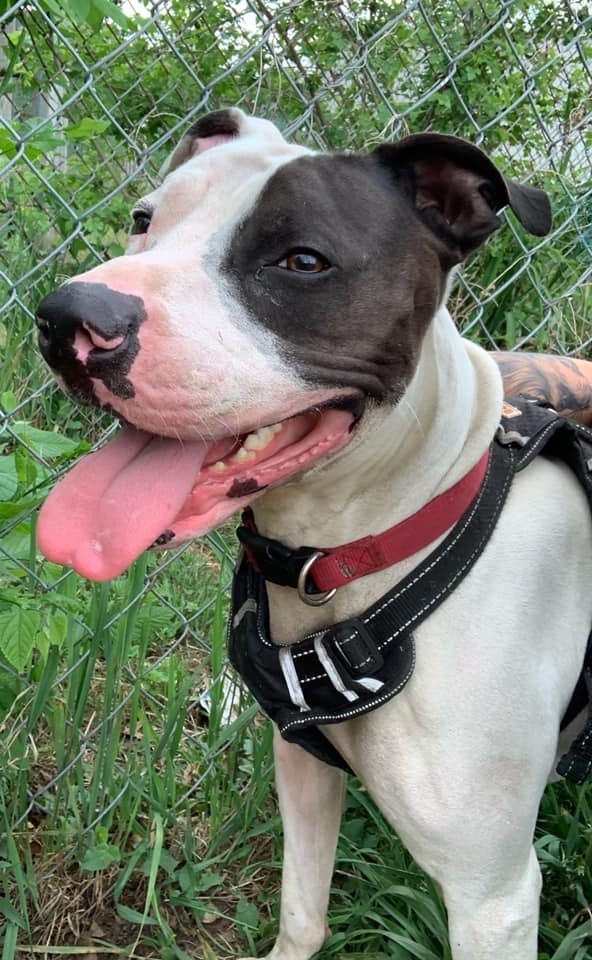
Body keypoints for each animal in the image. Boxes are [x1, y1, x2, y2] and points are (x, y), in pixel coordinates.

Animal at [34, 109, 592, 956]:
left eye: (302, 261)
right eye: (144, 220)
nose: (68, 318)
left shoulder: (491, 896)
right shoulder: (302, 766)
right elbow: (303, 909)